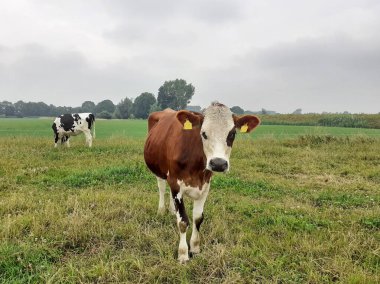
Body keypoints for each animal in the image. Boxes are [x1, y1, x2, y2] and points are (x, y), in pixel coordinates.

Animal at [144, 102, 260, 264]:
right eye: (204, 133)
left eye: (232, 134)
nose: (218, 163)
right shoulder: (176, 184)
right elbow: (183, 221)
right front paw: (183, 254)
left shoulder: (205, 186)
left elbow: (198, 218)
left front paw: (195, 248)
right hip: (159, 170)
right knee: (161, 187)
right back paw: (161, 211)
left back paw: (172, 210)